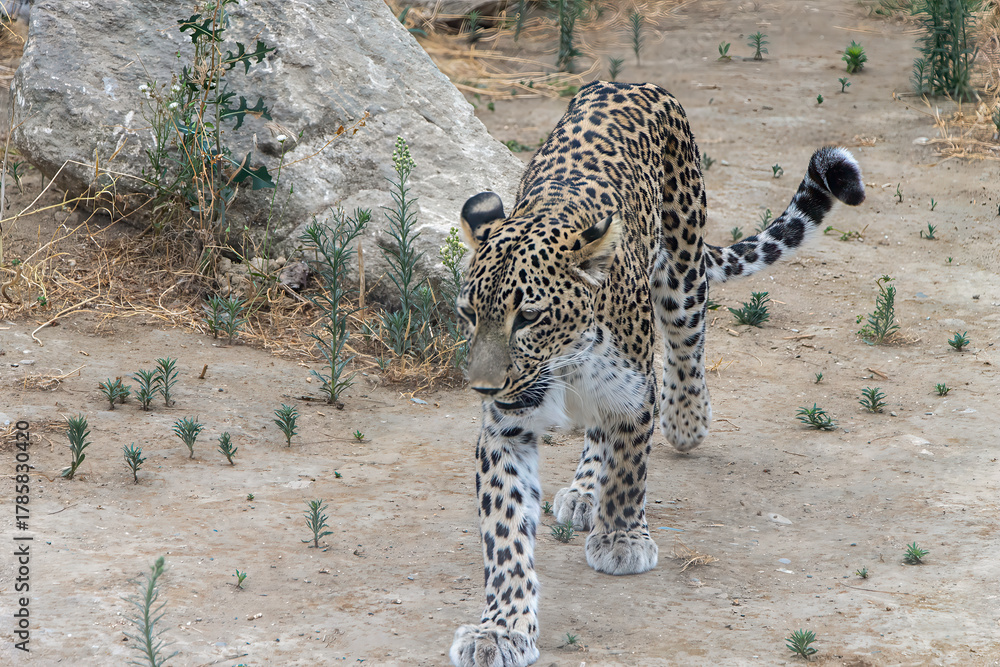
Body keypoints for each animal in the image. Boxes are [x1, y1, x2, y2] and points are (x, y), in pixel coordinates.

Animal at [449, 81, 865, 667]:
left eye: (527, 316)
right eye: (469, 313)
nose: (484, 387)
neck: (564, 360)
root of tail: (631, 84)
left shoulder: (631, 394)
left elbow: (628, 469)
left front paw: (621, 541)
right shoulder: (505, 430)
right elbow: (505, 532)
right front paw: (501, 629)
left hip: (681, 267)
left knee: (687, 343)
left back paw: (686, 420)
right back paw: (583, 490)